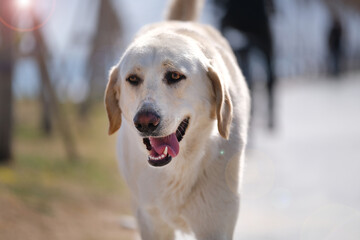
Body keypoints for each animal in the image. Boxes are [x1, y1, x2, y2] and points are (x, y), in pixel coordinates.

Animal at [105, 0, 249, 238]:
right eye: (133, 79)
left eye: (174, 76)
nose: (145, 122)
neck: (176, 170)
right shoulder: (151, 222)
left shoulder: (216, 223)